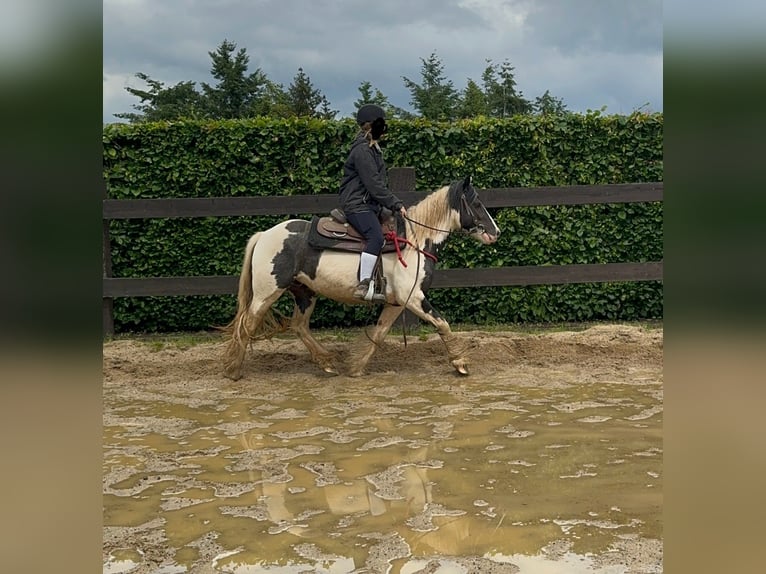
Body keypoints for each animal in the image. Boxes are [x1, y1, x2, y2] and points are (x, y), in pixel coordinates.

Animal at [224, 178, 498, 380]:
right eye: (476, 203)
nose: (496, 232)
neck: (415, 241)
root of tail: (264, 235)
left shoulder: (398, 302)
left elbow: (380, 333)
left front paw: (356, 367)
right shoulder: (414, 299)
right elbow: (442, 323)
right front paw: (460, 363)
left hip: (304, 292)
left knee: (299, 326)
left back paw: (327, 362)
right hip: (267, 293)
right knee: (248, 323)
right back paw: (233, 370)